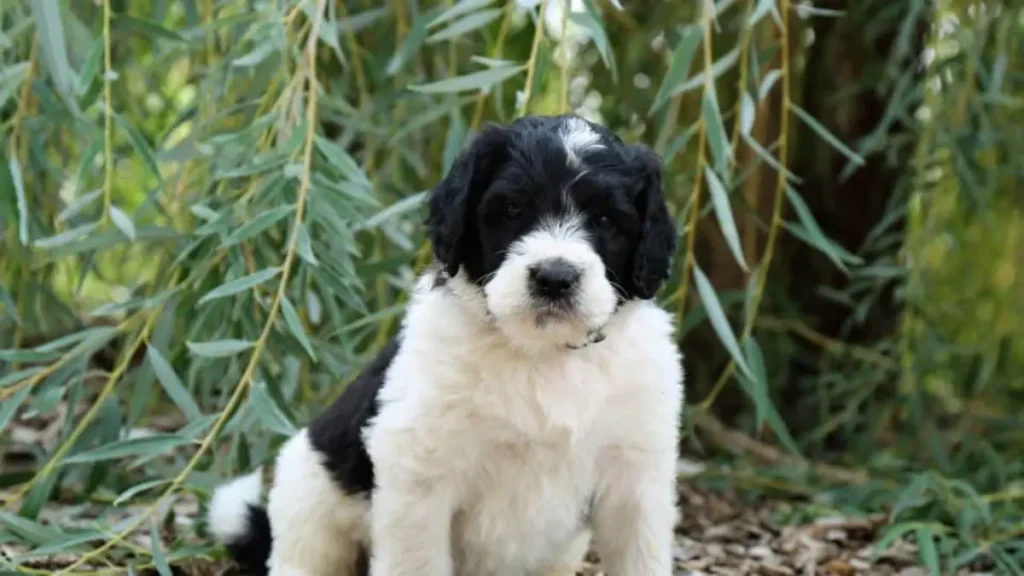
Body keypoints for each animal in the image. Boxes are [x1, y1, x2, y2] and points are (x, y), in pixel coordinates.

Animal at [205, 114, 688, 569]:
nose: (554, 277)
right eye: (512, 209)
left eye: (605, 219)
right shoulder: (419, 468)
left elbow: (640, 556)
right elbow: (415, 562)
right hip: (309, 490)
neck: (541, 355)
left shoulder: (636, 477)